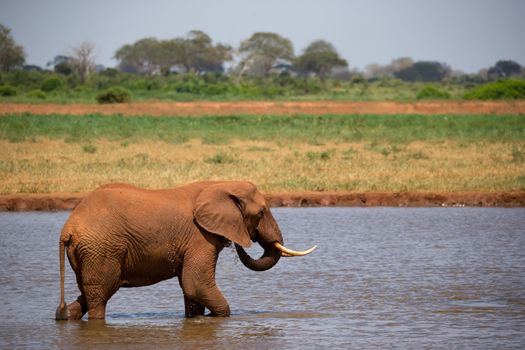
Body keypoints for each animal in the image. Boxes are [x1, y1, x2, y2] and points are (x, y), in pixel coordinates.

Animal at [54, 180, 316, 320]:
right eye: (261, 212)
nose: (241, 242)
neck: (219, 184)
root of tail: (68, 228)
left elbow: (190, 288)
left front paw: (198, 319)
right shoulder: (200, 236)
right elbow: (195, 282)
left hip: (90, 251)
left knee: (88, 292)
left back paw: (66, 317)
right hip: (101, 249)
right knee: (100, 293)